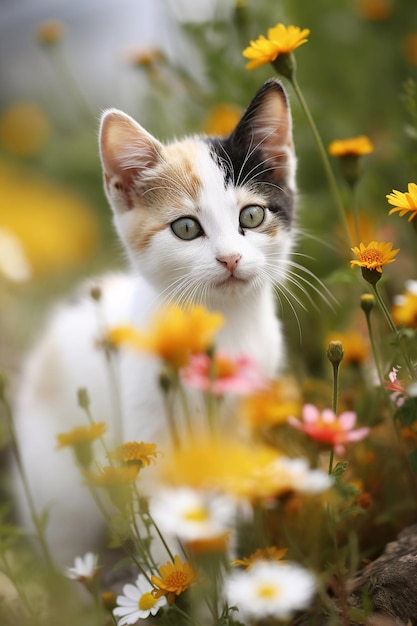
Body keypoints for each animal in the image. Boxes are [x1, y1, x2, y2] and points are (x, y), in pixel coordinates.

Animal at [12, 78, 296, 564]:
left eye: (252, 215)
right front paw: (180, 581)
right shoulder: (146, 440)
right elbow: (162, 526)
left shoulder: (234, 424)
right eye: (186, 228)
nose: (231, 258)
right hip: (57, 490)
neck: (222, 326)